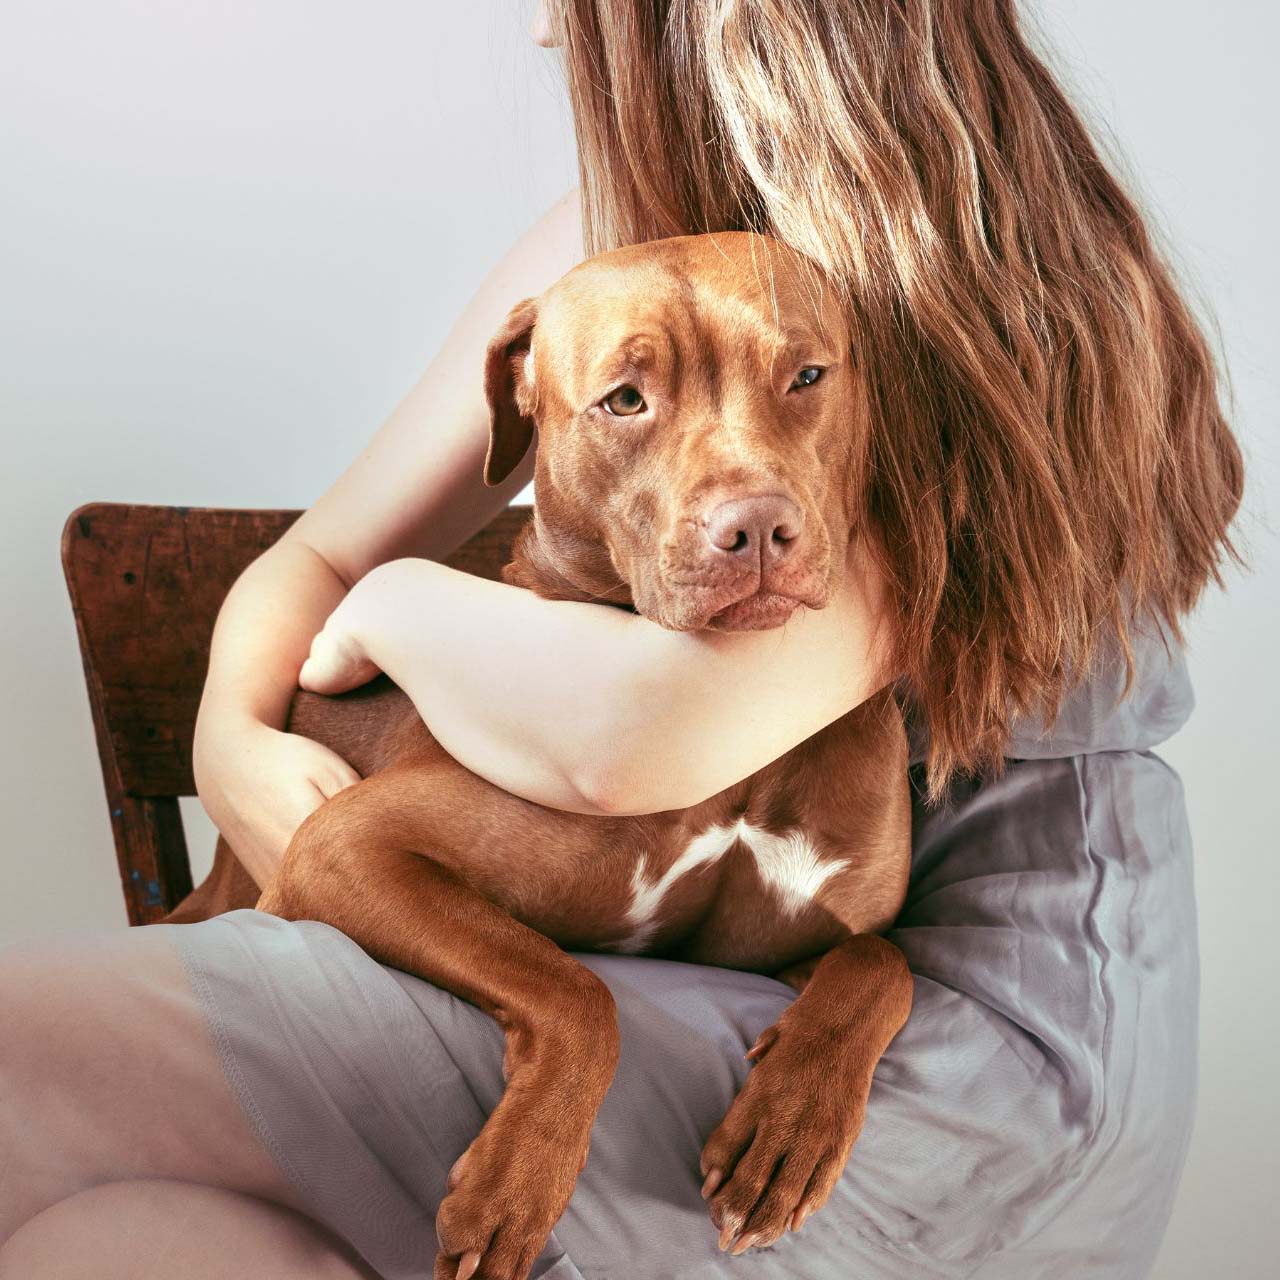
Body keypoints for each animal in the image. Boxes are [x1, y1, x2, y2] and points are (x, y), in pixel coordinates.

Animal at [249, 232, 911, 1280]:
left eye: (807, 375)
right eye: (625, 400)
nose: (757, 528)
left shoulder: (778, 952)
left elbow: (882, 964)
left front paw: (791, 1130)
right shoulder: (341, 851)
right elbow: (574, 986)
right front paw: (516, 1185)